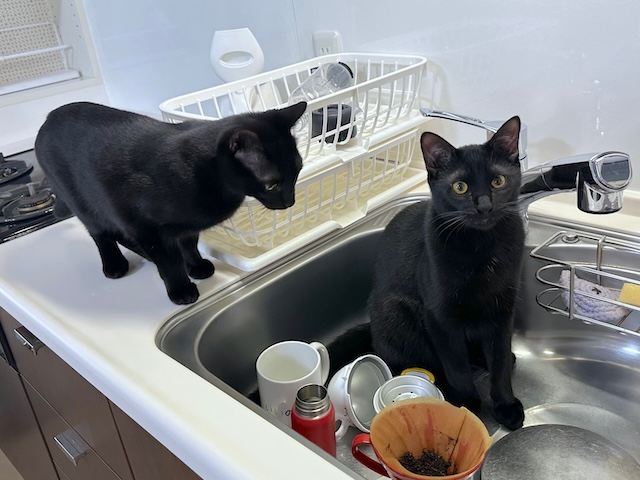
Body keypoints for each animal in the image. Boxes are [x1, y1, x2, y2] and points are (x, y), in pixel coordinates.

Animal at [35, 101, 307, 305]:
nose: (290, 201)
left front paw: (196, 266)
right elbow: (169, 261)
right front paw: (181, 289)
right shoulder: (148, 228)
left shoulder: (185, 225)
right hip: (82, 201)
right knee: (101, 234)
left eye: (297, 171)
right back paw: (115, 265)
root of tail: (48, 118)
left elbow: (189, 243)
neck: (203, 173)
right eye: (272, 184)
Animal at [367, 116, 525, 430]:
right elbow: (455, 365)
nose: (484, 205)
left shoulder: (503, 311)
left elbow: (500, 362)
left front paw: (505, 405)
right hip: (396, 315)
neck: (482, 247)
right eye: (460, 187)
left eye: (498, 181)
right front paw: (466, 404)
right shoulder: (439, 317)